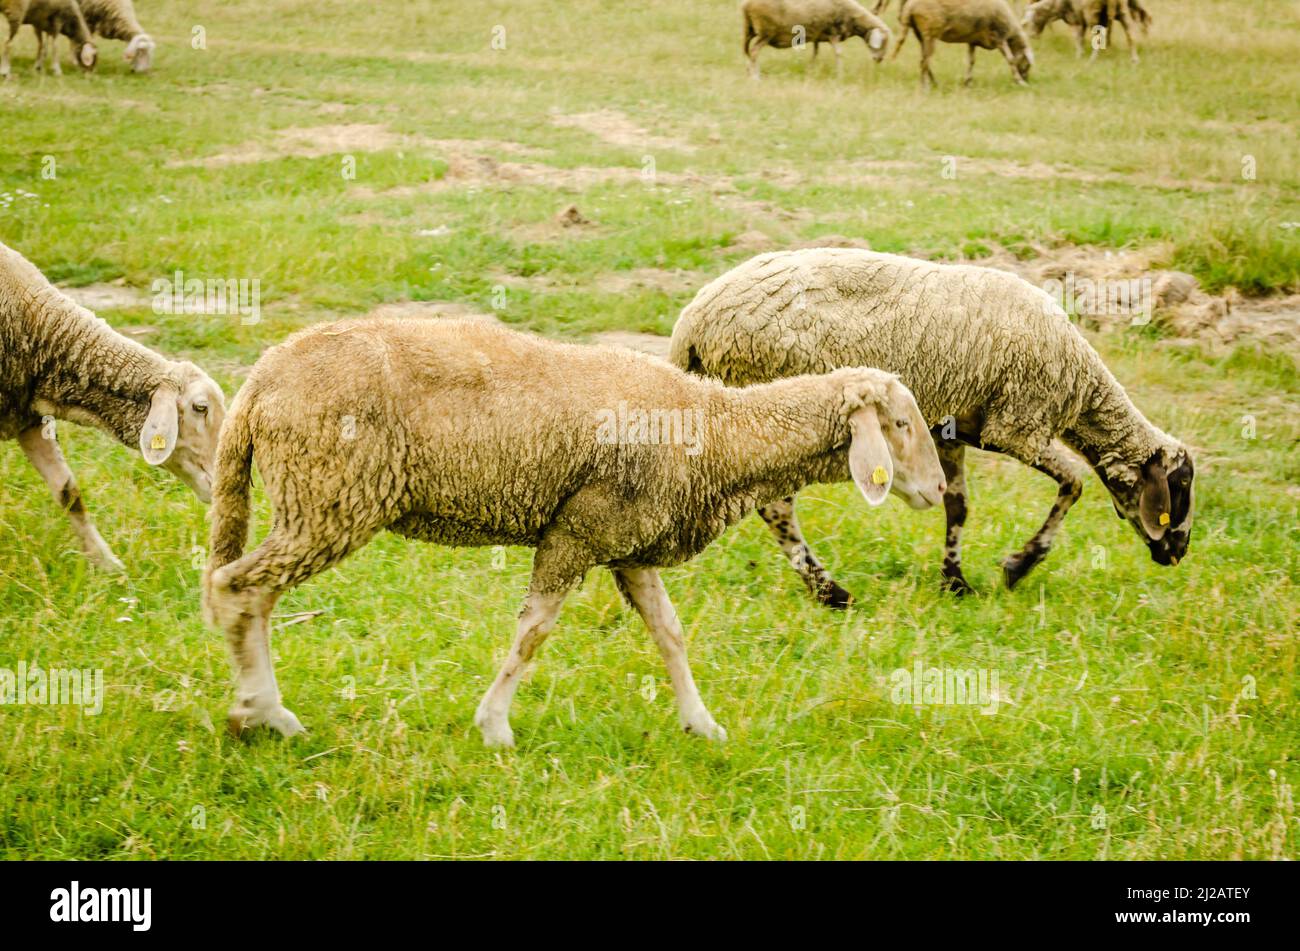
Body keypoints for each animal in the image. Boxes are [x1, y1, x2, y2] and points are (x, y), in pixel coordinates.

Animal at [202, 316, 946, 746]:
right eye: (900, 424)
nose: (940, 490)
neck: (717, 432)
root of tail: (258, 383)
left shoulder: (628, 543)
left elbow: (670, 633)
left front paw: (700, 722)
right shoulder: (578, 531)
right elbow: (533, 632)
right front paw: (494, 725)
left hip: (315, 500)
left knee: (246, 592)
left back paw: (256, 708)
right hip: (330, 496)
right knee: (238, 588)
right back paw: (261, 713)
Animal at [669, 248, 1195, 603]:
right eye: (1182, 484)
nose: (1179, 552)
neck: (1082, 390)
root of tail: (692, 321)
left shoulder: (952, 429)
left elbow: (957, 506)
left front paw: (955, 580)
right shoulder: (1015, 426)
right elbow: (1075, 481)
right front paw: (1019, 565)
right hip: (775, 408)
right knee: (776, 507)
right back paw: (830, 592)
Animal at [742, 0, 893, 79]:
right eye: (883, 42)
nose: (879, 60)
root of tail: (746, 5)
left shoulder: (817, 36)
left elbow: (815, 53)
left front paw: (810, 71)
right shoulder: (833, 33)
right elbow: (839, 53)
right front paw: (840, 75)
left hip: (750, 30)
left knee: (748, 52)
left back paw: (750, 72)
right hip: (766, 32)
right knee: (754, 52)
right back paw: (755, 77)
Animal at [894, 0, 1034, 89]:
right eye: (1027, 63)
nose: (1027, 78)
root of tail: (910, 7)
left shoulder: (973, 41)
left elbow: (971, 61)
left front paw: (968, 82)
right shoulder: (999, 37)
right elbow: (1010, 60)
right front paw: (1020, 82)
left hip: (920, 34)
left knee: (924, 60)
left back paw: (934, 83)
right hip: (929, 33)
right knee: (924, 62)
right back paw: (926, 86)